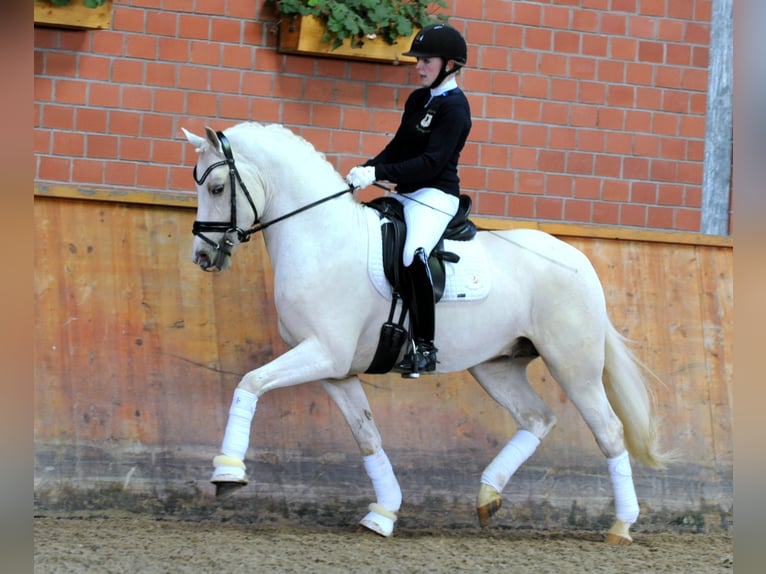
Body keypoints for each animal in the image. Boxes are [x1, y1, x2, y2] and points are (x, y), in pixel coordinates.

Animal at [182, 121, 669, 544]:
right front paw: (383, 513)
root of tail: (578, 259)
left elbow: (250, 382)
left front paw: (228, 472)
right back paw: (488, 496)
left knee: (609, 431)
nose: (203, 257)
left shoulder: (323, 353)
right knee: (537, 418)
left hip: (574, 366)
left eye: (217, 188)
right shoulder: (336, 370)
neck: (323, 239)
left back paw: (621, 526)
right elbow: (368, 436)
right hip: (496, 365)